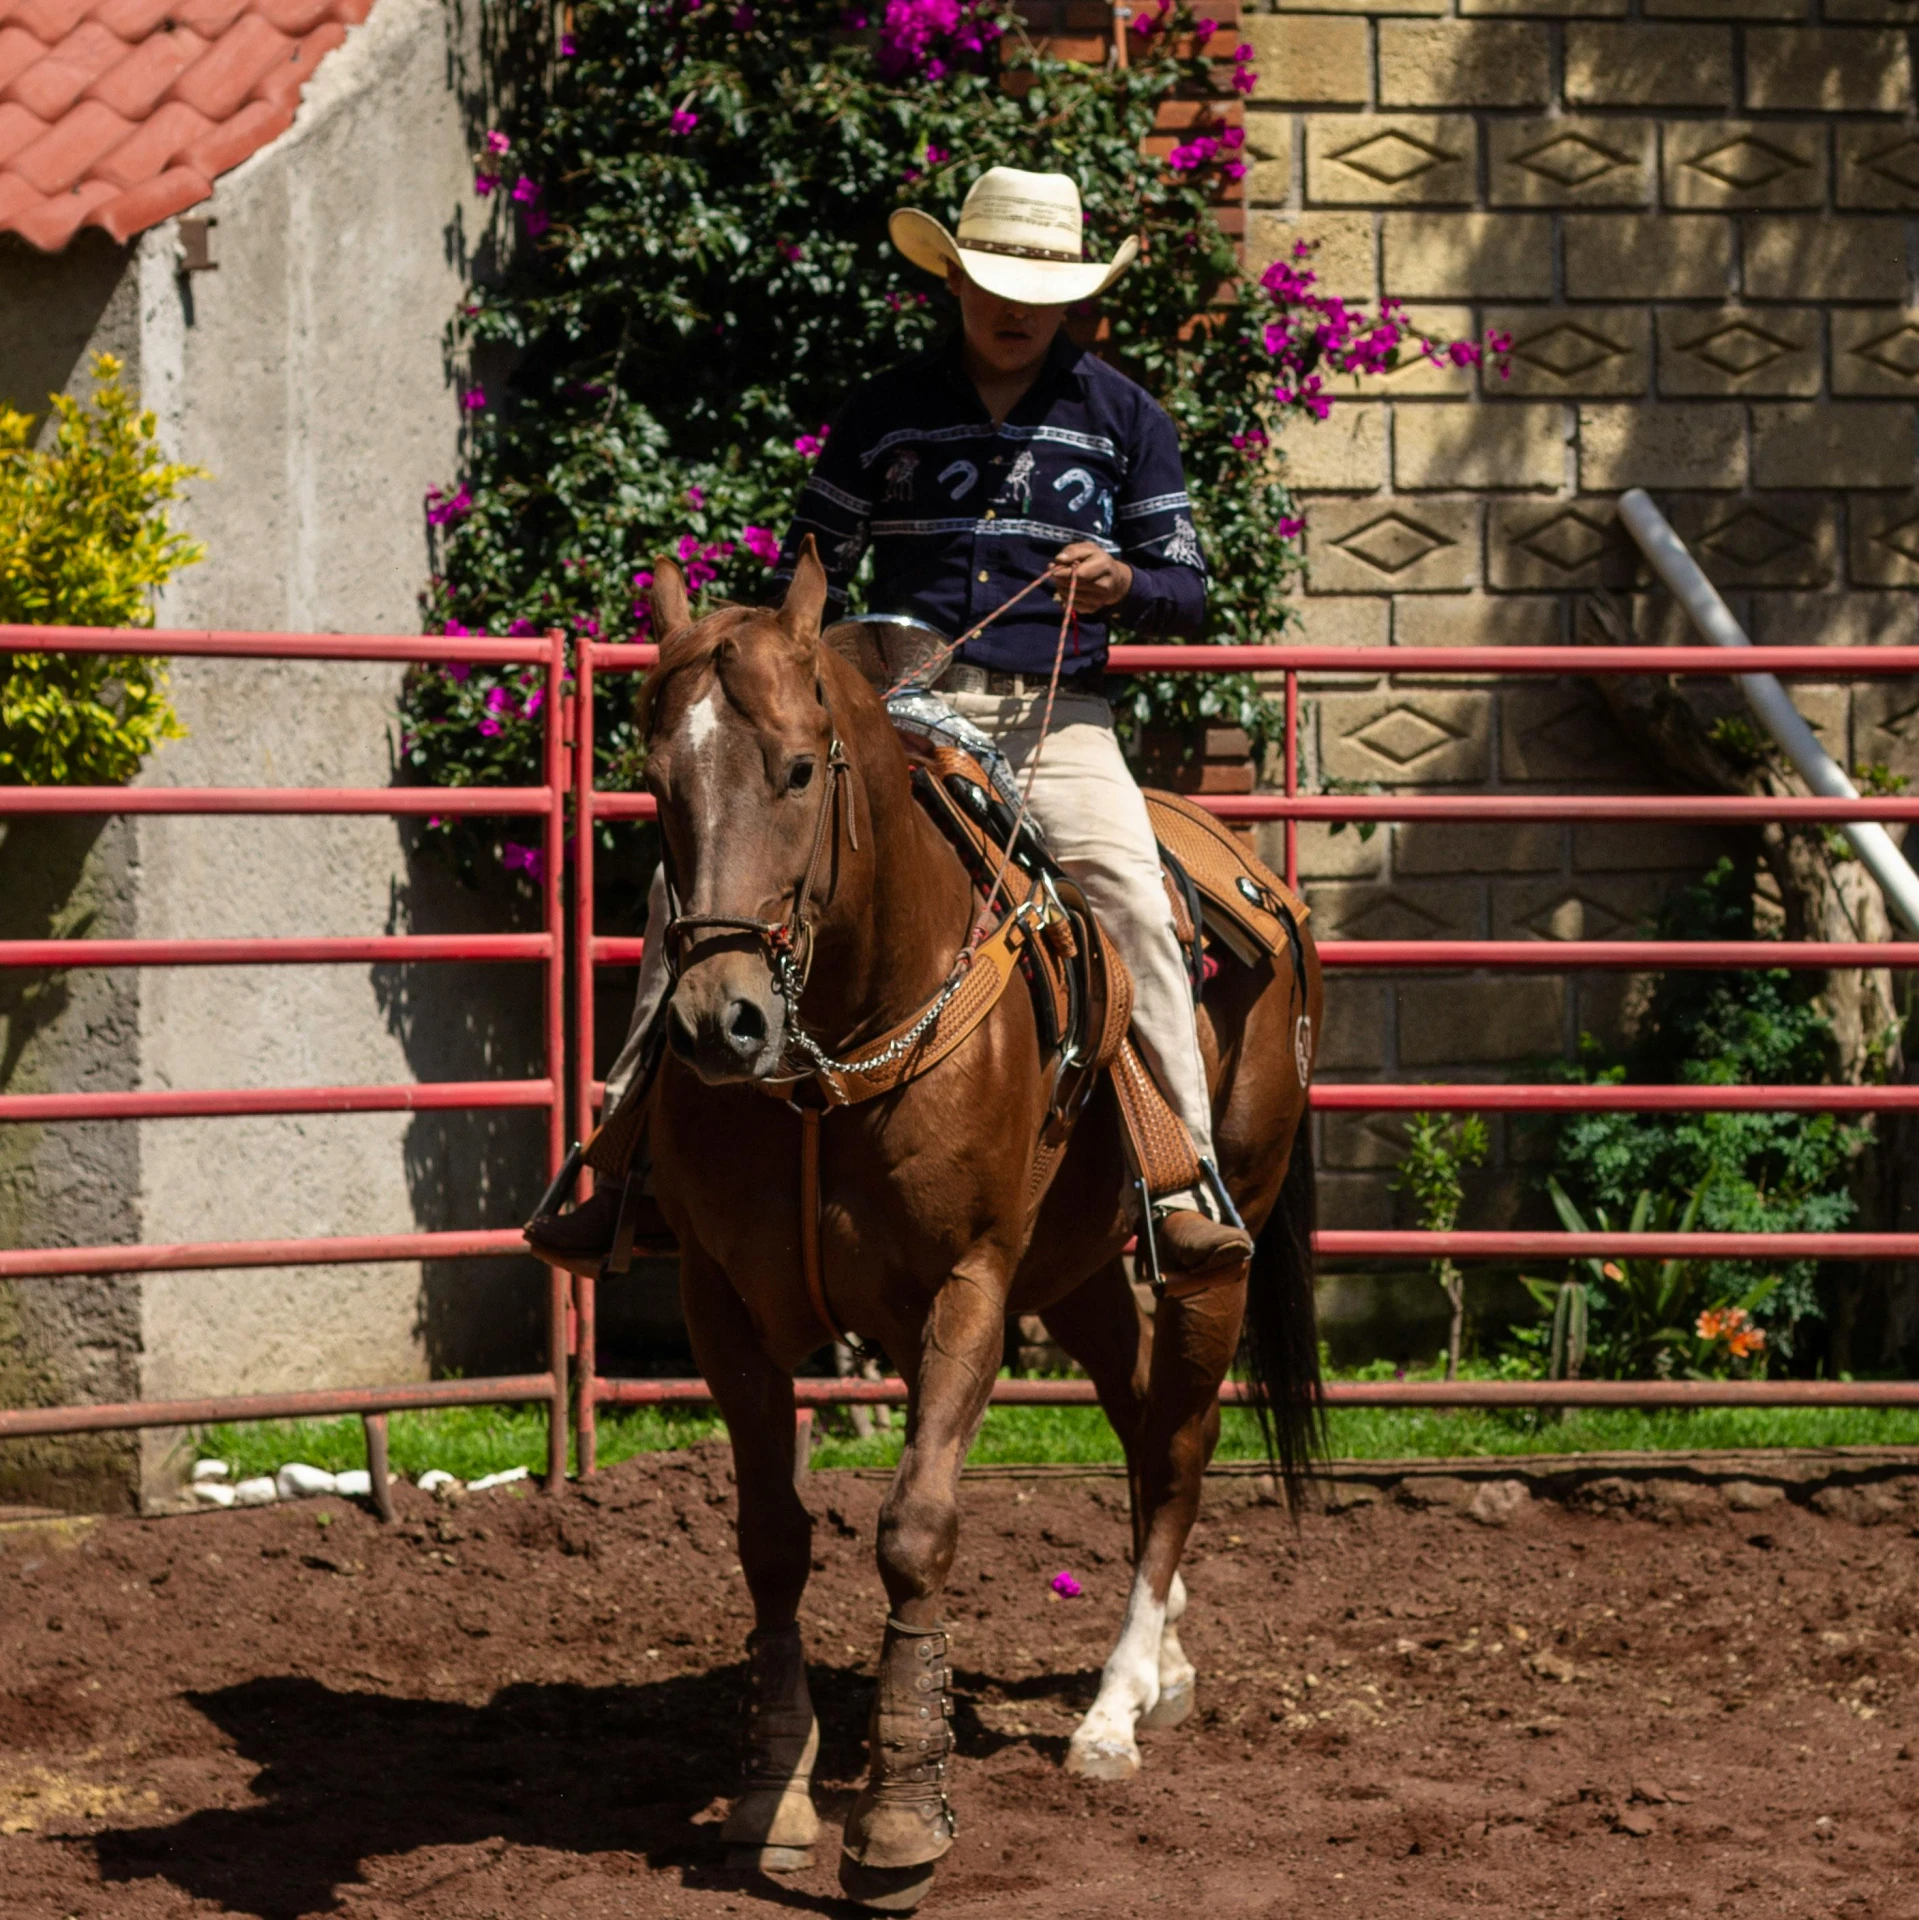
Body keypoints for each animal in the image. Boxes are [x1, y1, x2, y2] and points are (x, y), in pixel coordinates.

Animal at [637, 537, 1329, 1904]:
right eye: (654, 786)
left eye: (798, 768)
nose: (714, 1022)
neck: (837, 1049)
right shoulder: (718, 1302)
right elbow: (769, 1537)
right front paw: (772, 1789)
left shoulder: (968, 1287)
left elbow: (914, 1529)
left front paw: (901, 1822)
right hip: (1079, 1272)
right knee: (1136, 1415)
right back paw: (1164, 1665)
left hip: (1212, 1248)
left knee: (1179, 1443)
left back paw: (1115, 1710)